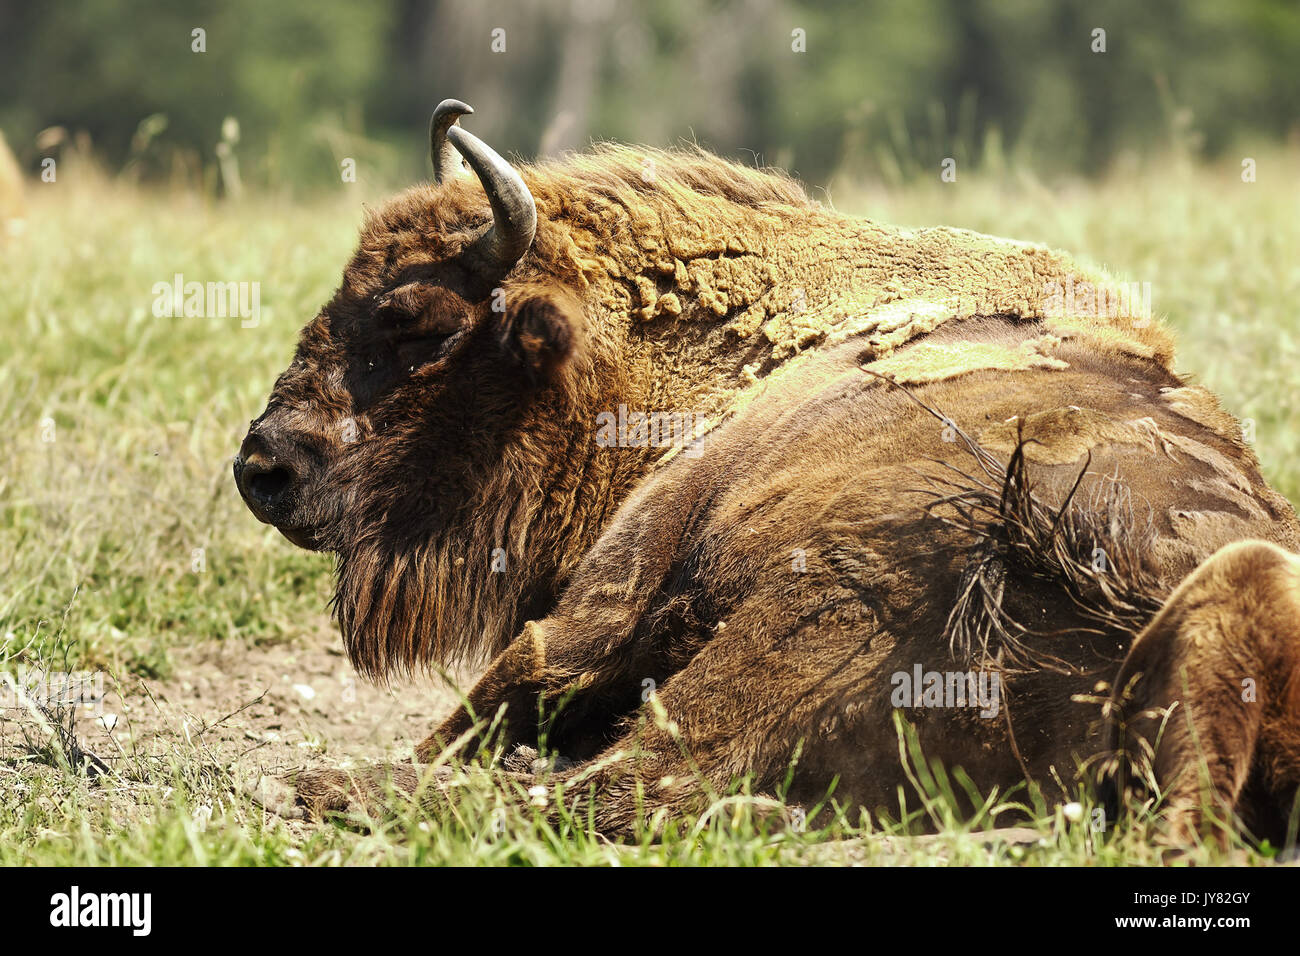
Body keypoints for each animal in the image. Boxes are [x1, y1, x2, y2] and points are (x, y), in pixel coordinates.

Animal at [239, 98, 1300, 842]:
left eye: (416, 322)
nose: (262, 467)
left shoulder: (610, 592)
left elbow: (511, 684)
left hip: (808, 609)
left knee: (629, 781)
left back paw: (328, 785)